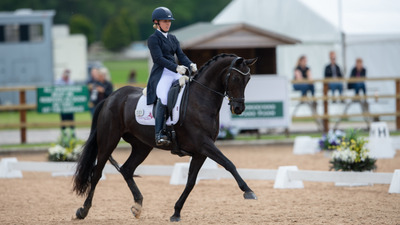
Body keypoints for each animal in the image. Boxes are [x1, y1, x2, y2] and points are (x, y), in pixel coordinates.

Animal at [72, 54, 256, 221]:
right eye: (235, 78)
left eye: (248, 79)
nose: (238, 108)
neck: (200, 100)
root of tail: (110, 98)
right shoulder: (204, 144)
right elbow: (229, 164)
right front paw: (248, 191)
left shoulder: (200, 152)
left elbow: (191, 181)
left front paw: (176, 212)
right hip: (108, 141)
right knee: (96, 173)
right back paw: (83, 211)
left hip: (142, 146)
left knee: (127, 169)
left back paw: (137, 205)